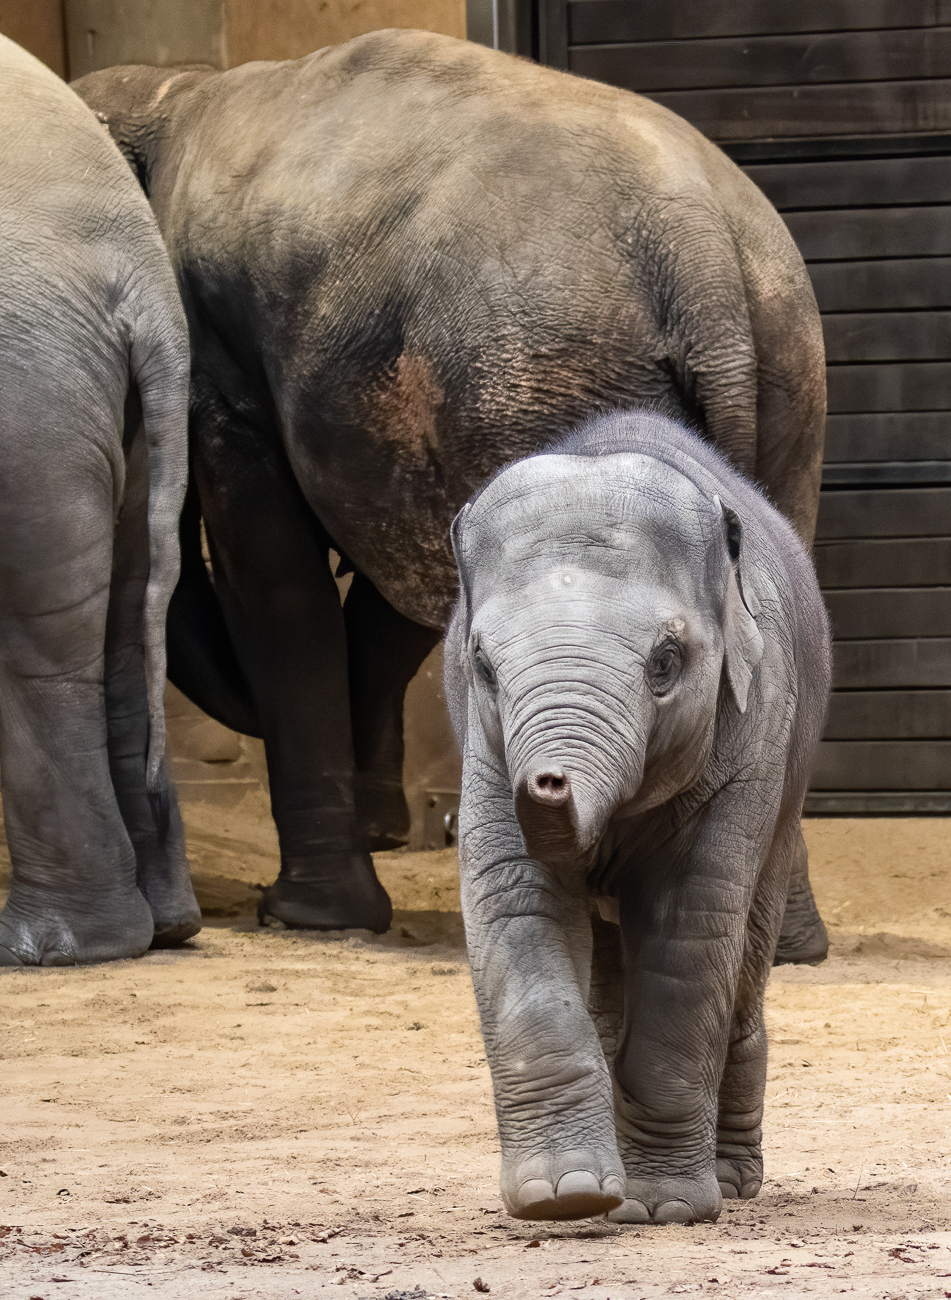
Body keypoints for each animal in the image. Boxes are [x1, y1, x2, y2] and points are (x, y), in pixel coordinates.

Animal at [74, 25, 826, 951]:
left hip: (537, 373)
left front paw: (307, 917)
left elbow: (275, 580)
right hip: (787, 371)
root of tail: (704, 254)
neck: (171, 91)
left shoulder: (219, 353)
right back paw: (788, 944)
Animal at [446, 410, 831, 1222]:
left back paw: (728, 1183)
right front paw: (562, 1199)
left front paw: (663, 1210)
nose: (548, 783)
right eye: (483, 667)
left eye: (665, 662)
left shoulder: (751, 733)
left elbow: (688, 928)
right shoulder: (484, 752)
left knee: (740, 958)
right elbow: (514, 903)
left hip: (786, 801)